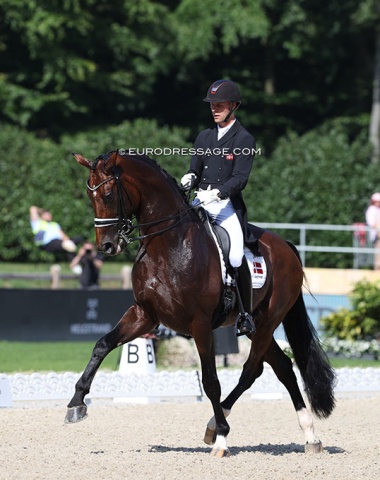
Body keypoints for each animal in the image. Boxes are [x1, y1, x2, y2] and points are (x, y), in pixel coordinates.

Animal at [66, 150, 336, 458]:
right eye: (91, 196)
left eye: (109, 195)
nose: (107, 246)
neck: (169, 245)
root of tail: (287, 247)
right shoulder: (144, 314)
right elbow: (102, 345)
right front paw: (76, 403)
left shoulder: (201, 324)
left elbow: (210, 381)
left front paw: (222, 439)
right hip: (258, 327)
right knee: (283, 367)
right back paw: (310, 436)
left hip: (268, 322)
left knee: (250, 370)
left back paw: (216, 427)